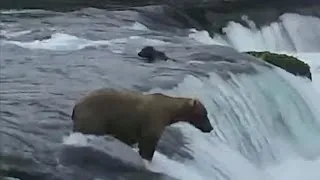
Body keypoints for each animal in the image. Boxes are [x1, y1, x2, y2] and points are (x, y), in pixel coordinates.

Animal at [71, 89, 214, 162]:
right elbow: (148, 145)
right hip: (94, 117)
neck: (170, 112)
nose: (210, 128)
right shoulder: (153, 121)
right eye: (204, 114)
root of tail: (76, 105)